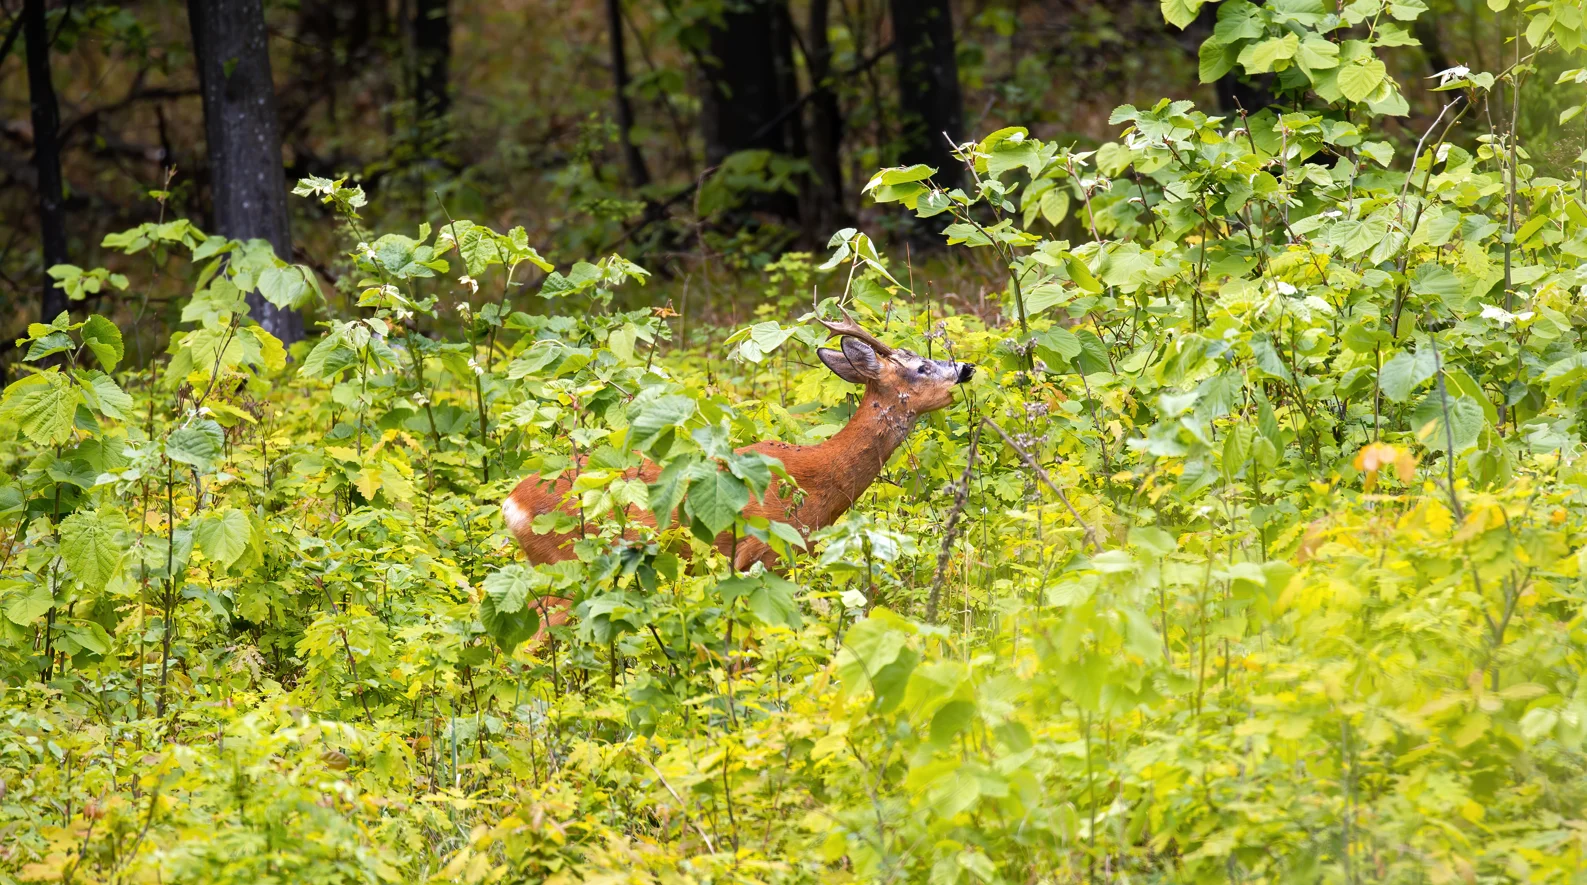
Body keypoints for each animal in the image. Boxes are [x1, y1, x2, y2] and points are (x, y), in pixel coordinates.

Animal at [501, 310, 976, 636]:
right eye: (920, 367)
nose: (966, 368)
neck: (815, 482)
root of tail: (512, 504)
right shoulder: (760, 555)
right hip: (570, 567)